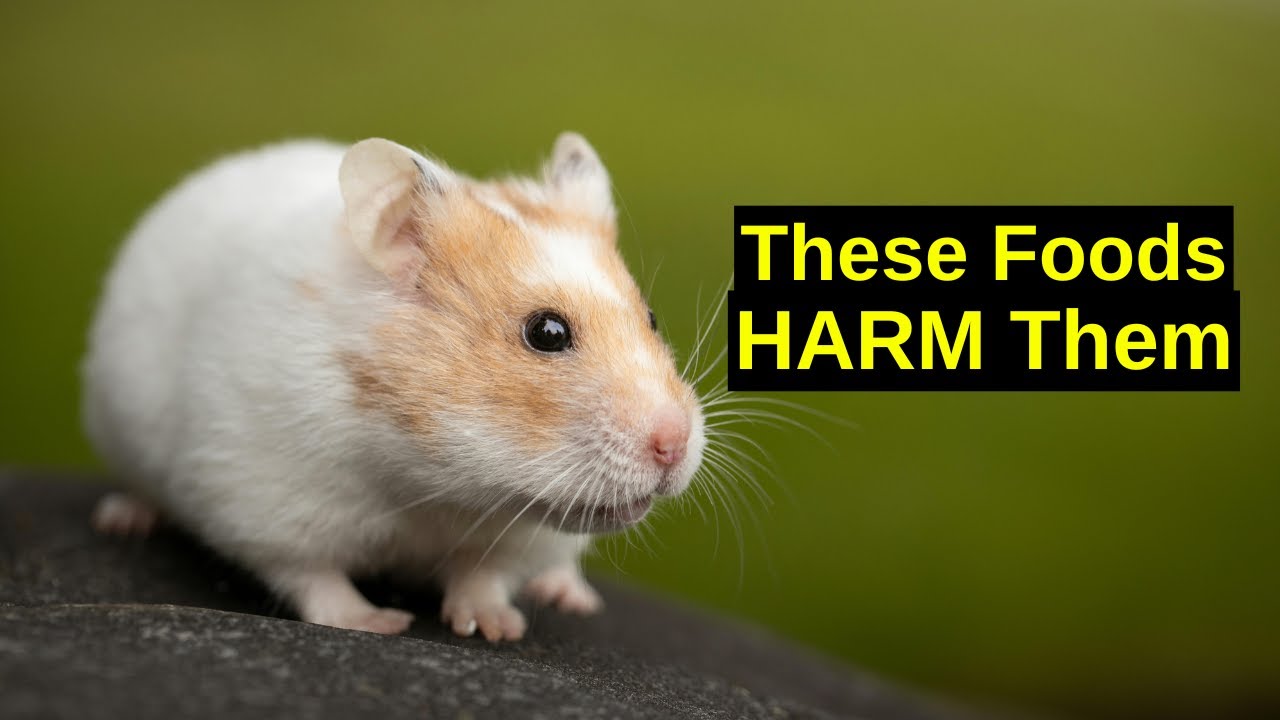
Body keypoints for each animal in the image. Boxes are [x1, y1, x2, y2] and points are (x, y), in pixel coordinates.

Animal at [81, 133, 706, 640]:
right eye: (546, 332)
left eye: (651, 318)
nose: (673, 445)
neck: (433, 483)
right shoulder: (262, 496)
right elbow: (313, 577)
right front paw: (380, 623)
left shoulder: (516, 537)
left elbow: (483, 575)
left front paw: (496, 628)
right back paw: (123, 519)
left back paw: (568, 595)